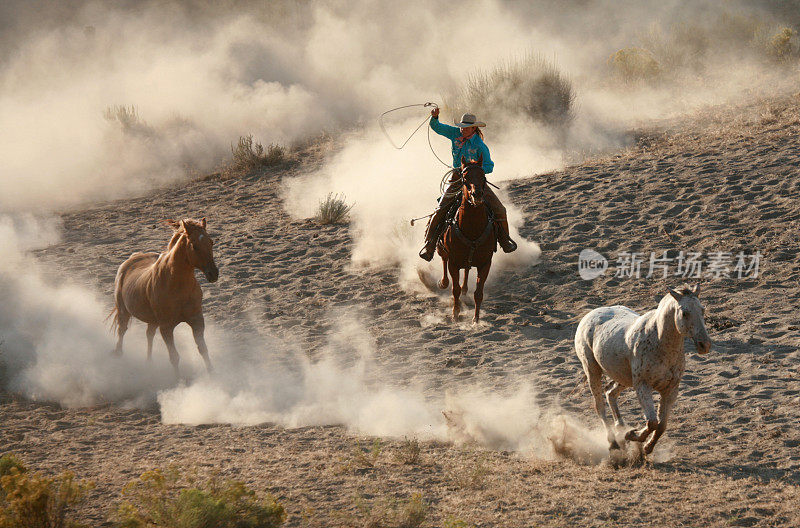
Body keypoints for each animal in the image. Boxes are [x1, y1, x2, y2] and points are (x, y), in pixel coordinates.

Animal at [108, 218, 219, 376]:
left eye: (211, 242)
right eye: (194, 245)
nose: (213, 274)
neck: (177, 285)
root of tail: (131, 258)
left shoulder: (197, 320)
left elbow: (203, 349)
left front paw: (212, 374)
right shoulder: (166, 327)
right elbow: (174, 357)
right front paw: (179, 380)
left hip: (153, 320)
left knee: (149, 335)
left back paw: (149, 362)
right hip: (124, 311)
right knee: (122, 330)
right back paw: (118, 353)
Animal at [438, 155, 494, 324]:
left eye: (483, 176)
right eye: (465, 177)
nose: (477, 195)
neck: (472, 228)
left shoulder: (485, 263)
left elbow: (478, 292)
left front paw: (476, 319)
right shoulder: (453, 263)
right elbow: (454, 289)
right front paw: (455, 314)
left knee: (468, 269)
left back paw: (465, 289)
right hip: (442, 249)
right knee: (443, 259)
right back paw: (443, 282)